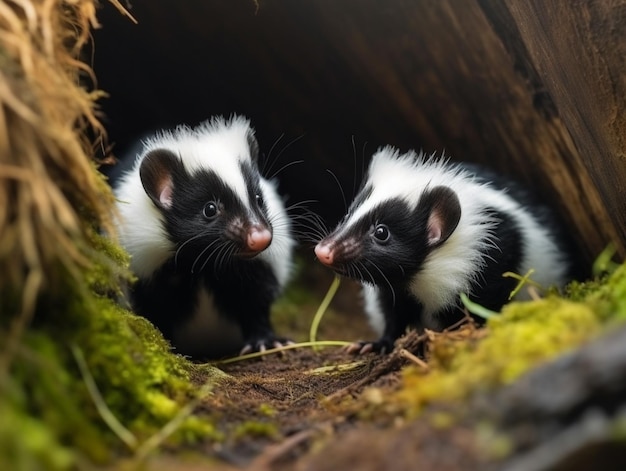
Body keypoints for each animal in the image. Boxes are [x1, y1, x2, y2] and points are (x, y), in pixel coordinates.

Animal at [111, 116, 292, 360]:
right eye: (210, 209)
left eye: (258, 198)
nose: (260, 236)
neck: (203, 265)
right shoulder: (148, 274)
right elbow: (154, 311)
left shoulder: (254, 269)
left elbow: (256, 301)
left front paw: (265, 341)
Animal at [314, 148, 572, 354]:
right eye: (349, 214)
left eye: (381, 232)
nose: (324, 250)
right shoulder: (395, 289)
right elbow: (393, 315)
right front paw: (376, 344)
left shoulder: (492, 262)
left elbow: (485, 306)